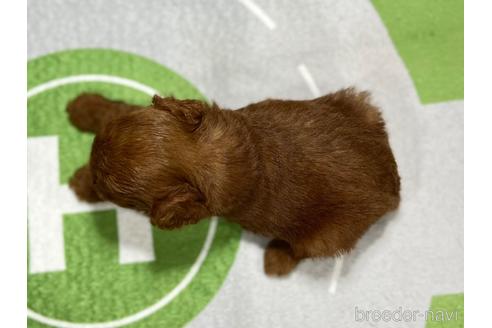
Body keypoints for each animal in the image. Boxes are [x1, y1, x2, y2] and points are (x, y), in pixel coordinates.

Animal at [68, 88, 400, 276]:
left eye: (108, 185)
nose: (91, 164)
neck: (204, 156)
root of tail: (393, 187)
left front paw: (82, 184)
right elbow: (118, 109)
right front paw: (85, 106)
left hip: (329, 236)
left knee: (304, 249)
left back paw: (277, 258)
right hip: (357, 104)